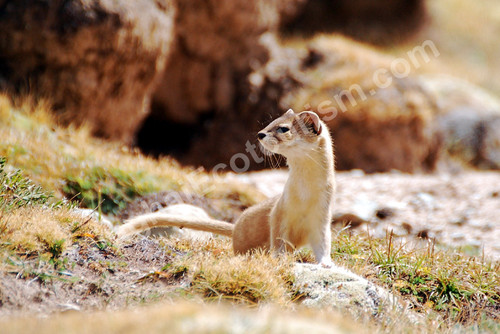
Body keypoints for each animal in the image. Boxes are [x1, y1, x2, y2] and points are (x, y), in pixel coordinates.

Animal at [117, 109, 336, 266]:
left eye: (283, 128)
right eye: (271, 121)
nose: (260, 134)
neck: (305, 195)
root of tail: (236, 226)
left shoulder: (322, 217)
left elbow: (323, 244)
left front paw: (326, 263)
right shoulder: (279, 212)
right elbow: (278, 239)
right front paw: (279, 258)